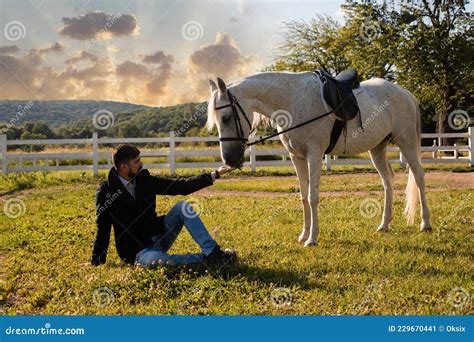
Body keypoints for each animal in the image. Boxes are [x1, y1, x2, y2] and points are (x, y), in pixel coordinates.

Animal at [207, 71, 434, 246]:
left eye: (226, 117)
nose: (229, 159)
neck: (291, 100)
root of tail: (405, 93)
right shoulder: (297, 158)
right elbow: (303, 197)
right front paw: (303, 235)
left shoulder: (314, 156)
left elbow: (312, 197)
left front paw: (312, 238)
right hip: (377, 148)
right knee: (387, 181)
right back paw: (384, 225)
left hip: (406, 142)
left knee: (419, 177)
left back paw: (425, 224)